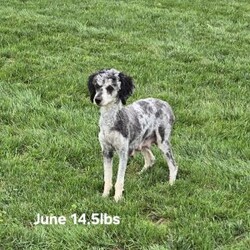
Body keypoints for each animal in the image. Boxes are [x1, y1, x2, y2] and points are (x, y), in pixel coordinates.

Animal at [88, 68, 178, 201]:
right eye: (97, 86)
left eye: (110, 87)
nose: (97, 99)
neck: (111, 122)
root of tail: (166, 104)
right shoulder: (106, 151)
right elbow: (107, 178)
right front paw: (105, 196)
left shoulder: (123, 152)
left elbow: (119, 180)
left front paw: (117, 198)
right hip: (141, 142)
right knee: (151, 158)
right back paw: (141, 173)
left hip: (163, 142)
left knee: (173, 165)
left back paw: (171, 184)